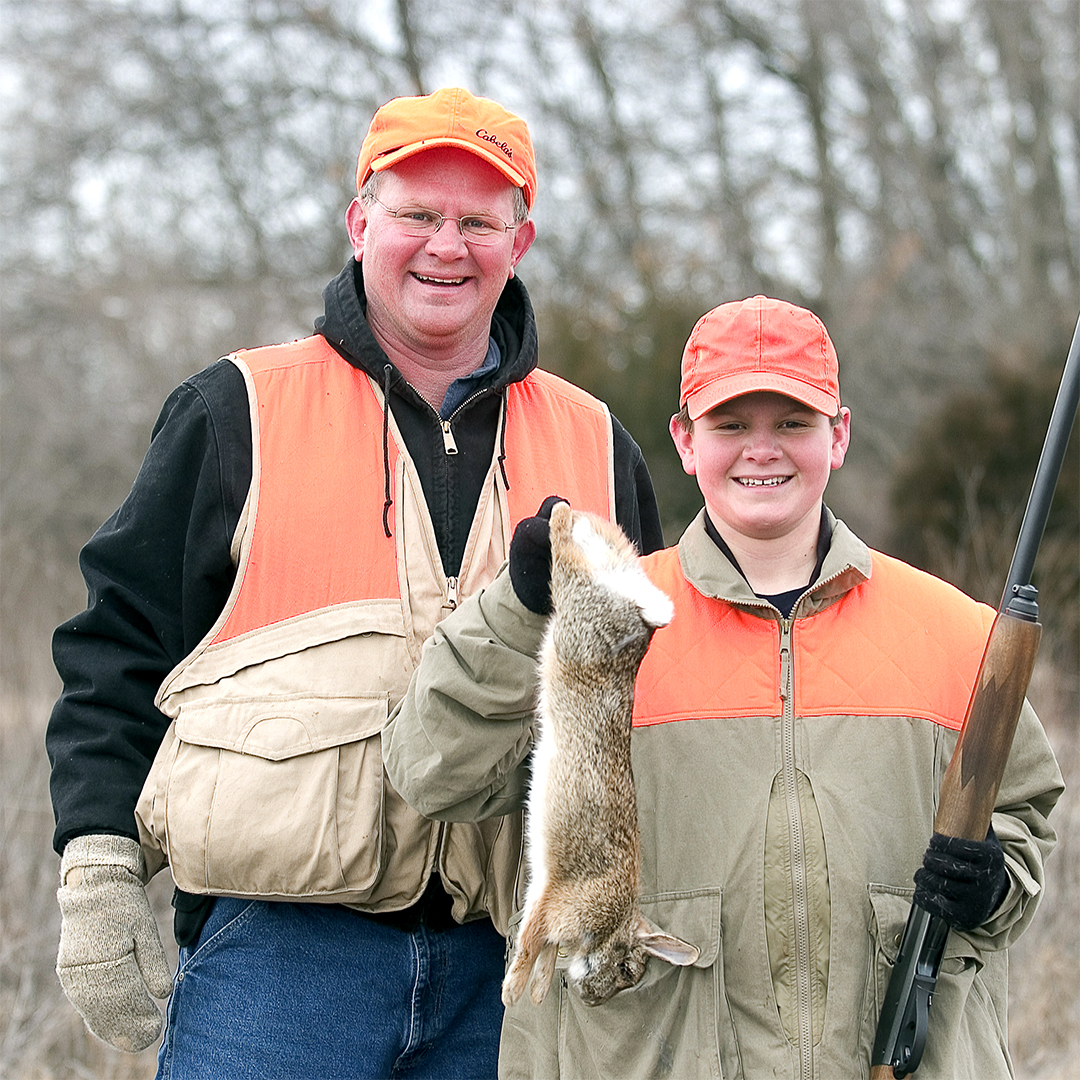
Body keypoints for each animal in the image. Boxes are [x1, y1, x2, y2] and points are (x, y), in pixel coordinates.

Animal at [502, 501, 700, 1008]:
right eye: (627, 966)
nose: (593, 998)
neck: (612, 923)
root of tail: (644, 615)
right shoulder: (562, 903)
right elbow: (532, 942)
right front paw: (512, 992)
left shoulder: (545, 899)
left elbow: (545, 950)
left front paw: (536, 992)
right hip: (577, 612)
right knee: (563, 548)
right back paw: (553, 517)